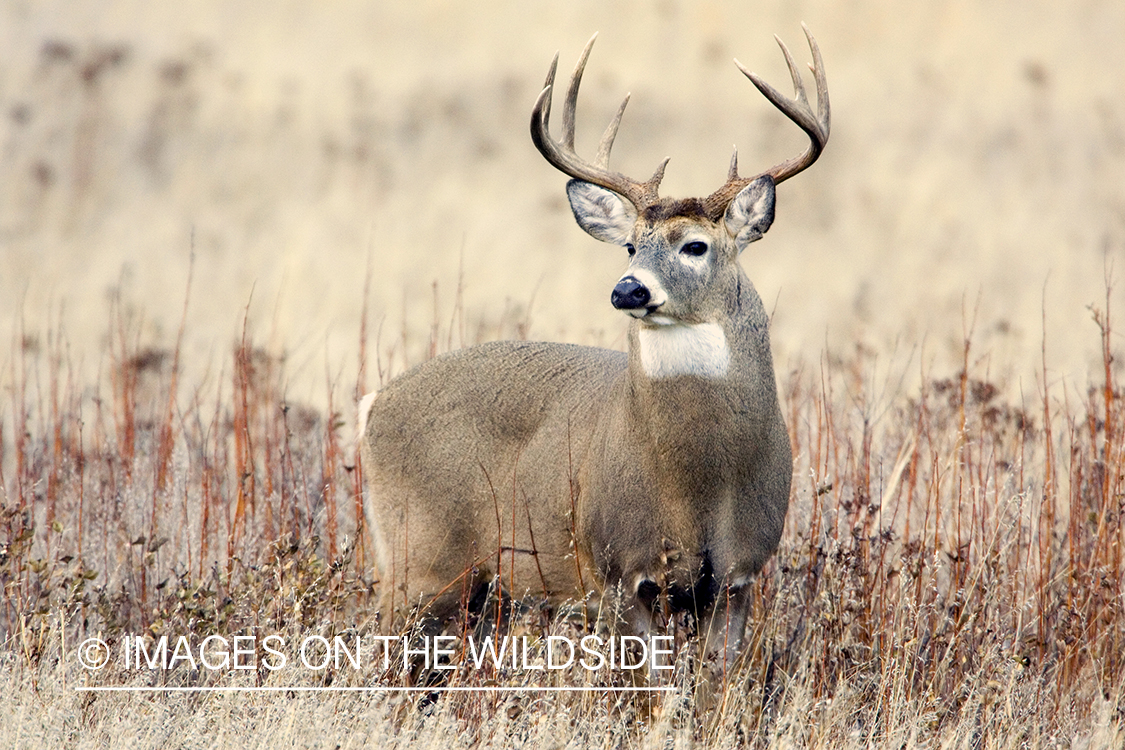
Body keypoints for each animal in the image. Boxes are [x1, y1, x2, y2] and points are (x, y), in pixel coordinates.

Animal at [360, 23, 828, 661]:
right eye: (631, 246)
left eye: (696, 246)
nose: (628, 289)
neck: (699, 485)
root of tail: (372, 404)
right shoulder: (618, 568)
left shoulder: (739, 576)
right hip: (420, 557)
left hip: (476, 587)